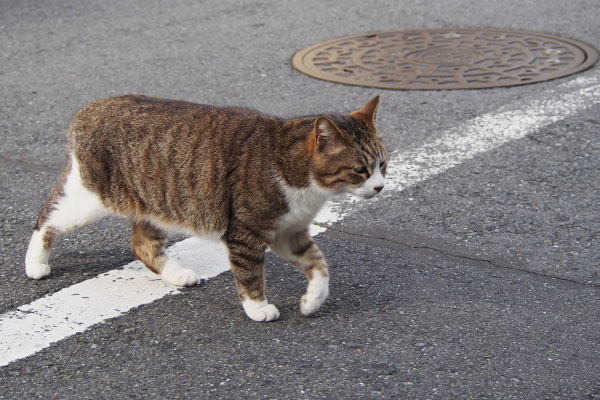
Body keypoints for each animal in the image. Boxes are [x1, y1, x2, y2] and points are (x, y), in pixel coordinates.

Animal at [25, 95, 386, 324]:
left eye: (383, 164)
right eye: (360, 170)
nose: (381, 186)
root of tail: (87, 110)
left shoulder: (288, 231)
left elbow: (319, 266)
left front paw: (313, 301)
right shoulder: (246, 231)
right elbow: (250, 272)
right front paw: (258, 308)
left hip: (165, 204)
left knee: (142, 244)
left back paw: (177, 274)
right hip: (91, 198)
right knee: (47, 217)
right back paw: (36, 263)